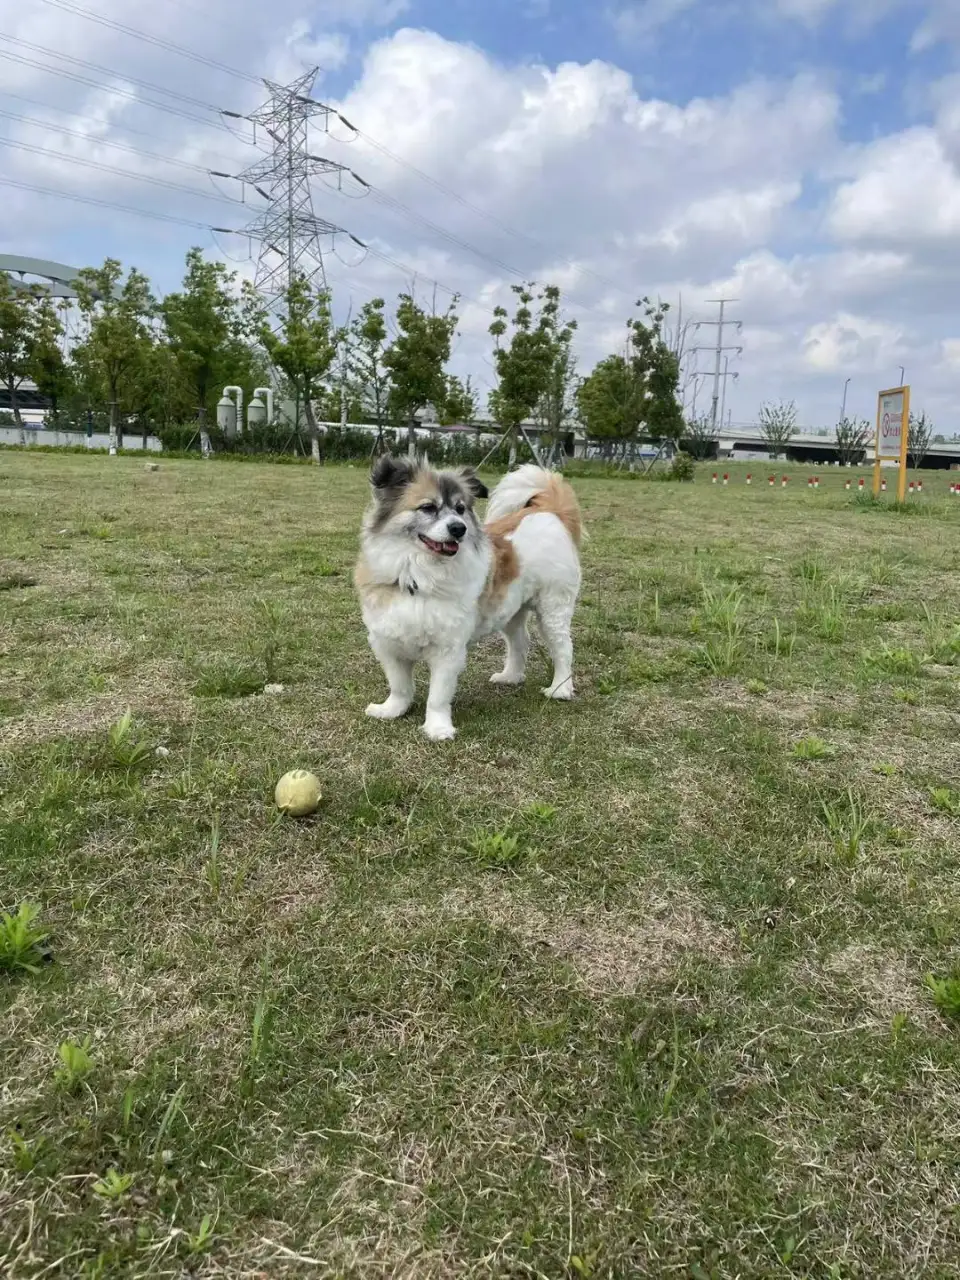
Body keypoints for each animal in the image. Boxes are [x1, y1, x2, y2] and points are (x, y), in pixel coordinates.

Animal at [358, 458, 586, 742]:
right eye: (428, 507)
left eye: (460, 509)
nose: (459, 528)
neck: (419, 575)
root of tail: (549, 510)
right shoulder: (389, 643)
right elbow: (399, 686)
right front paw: (392, 710)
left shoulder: (448, 650)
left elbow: (438, 696)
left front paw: (438, 728)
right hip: (509, 611)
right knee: (520, 642)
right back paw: (511, 677)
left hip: (552, 609)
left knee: (563, 649)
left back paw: (560, 689)